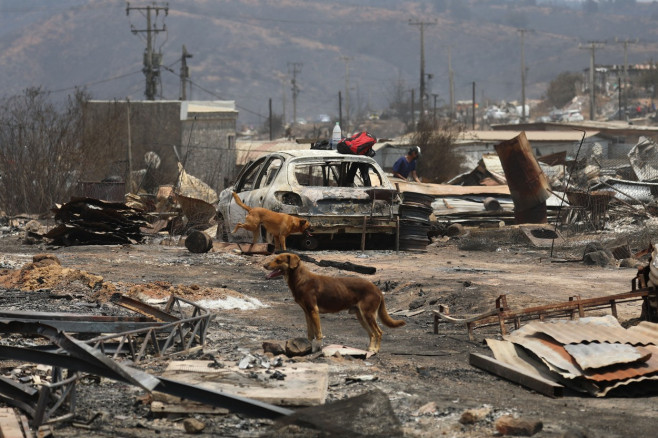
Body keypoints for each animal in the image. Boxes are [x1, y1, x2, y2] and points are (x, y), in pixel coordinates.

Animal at [264, 253, 402, 352]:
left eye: (278, 260)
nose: (264, 265)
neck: (300, 279)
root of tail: (377, 289)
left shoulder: (313, 310)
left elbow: (318, 333)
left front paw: (317, 348)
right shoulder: (307, 312)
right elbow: (310, 333)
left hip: (368, 314)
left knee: (378, 332)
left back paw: (375, 350)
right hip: (361, 316)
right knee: (372, 334)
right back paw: (369, 349)